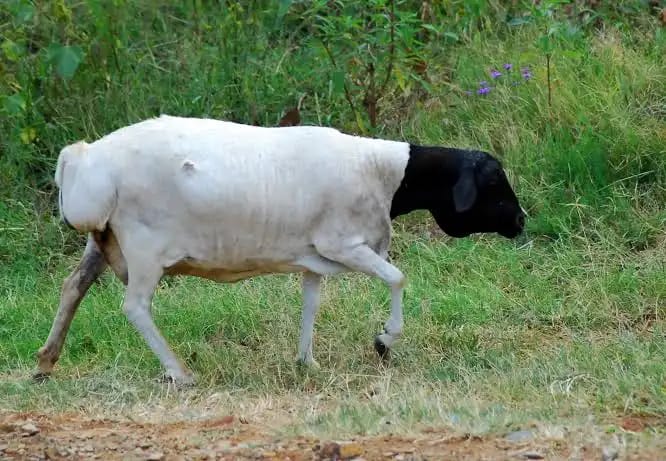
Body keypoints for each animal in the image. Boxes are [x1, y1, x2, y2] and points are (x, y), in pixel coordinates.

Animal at [36, 115, 525, 385]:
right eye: (494, 183)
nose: (521, 221)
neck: (382, 173)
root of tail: (82, 160)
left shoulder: (313, 255)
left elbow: (310, 302)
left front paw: (307, 362)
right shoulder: (343, 243)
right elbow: (397, 277)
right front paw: (384, 341)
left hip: (102, 240)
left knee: (72, 287)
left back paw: (45, 362)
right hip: (143, 246)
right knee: (135, 307)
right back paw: (179, 372)